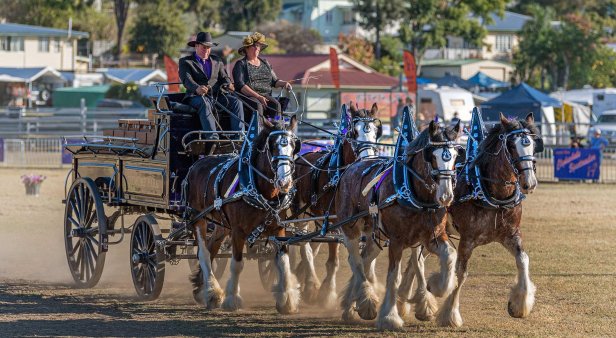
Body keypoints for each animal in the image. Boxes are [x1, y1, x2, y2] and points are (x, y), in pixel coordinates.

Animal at [188, 116, 304, 314]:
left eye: (293, 146)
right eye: (272, 146)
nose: (284, 182)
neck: (258, 189)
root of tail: (197, 163)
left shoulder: (278, 228)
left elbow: (283, 261)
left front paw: (287, 300)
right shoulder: (238, 231)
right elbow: (237, 264)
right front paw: (232, 299)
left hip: (221, 225)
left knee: (212, 248)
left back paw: (204, 290)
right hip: (198, 218)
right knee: (203, 253)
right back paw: (212, 291)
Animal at [292, 102, 380, 306]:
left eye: (375, 131)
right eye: (354, 132)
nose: (368, 159)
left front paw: (371, 283)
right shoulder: (337, 220)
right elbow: (334, 259)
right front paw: (327, 292)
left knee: (312, 242)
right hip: (300, 211)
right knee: (304, 244)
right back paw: (310, 284)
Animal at [336, 120, 462, 328]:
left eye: (455, 156)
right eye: (432, 156)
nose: (446, 196)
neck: (417, 195)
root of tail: (354, 166)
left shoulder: (431, 237)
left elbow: (450, 255)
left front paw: (436, 286)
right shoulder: (396, 241)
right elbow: (394, 277)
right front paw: (390, 316)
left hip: (376, 234)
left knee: (365, 258)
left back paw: (352, 304)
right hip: (350, 227)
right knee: (355, 260)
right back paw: (366, 301)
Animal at [436, 113, 540, 328]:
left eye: (533, 144)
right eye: (511, 145)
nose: (529, 183)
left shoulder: (511, 235)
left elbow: (523, 260)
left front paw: (519, 304)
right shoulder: (467, 240)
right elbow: (461, 274)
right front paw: (450, 314)